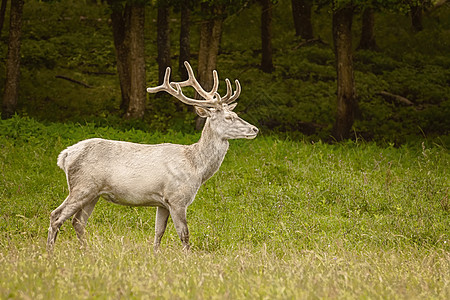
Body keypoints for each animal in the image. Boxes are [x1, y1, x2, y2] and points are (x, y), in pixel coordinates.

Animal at [47, 61, 258, 251]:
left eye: (236, 114)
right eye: (229, 117)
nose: (255, 129)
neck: (196, 166)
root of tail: (65, 155)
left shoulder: (162, 202)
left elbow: (159, 232)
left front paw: (155, 255)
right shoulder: (177, 198)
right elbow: (184, 234)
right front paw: (188, 258)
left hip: (94, 193)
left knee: (78, 222)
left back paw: (88, 251)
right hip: (82, 186)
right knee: (56, 216)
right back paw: (51, 253)